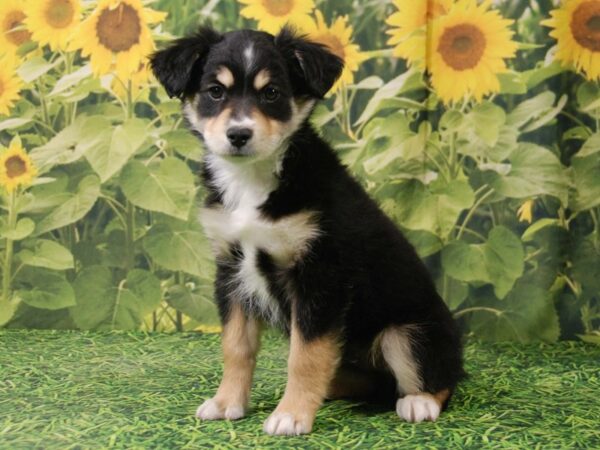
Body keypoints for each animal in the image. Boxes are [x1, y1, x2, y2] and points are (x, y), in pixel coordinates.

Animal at [150, 25, 464, 436]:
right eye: (215, 91)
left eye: (272, 93)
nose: (239, 134)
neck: (253, 181)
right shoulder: (231, 270)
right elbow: (236, 347)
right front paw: (226, 402)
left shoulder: (321, 274)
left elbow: (306, 355)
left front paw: (291, 415)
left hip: (407, 333)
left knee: (439, 376)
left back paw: (419, 402)